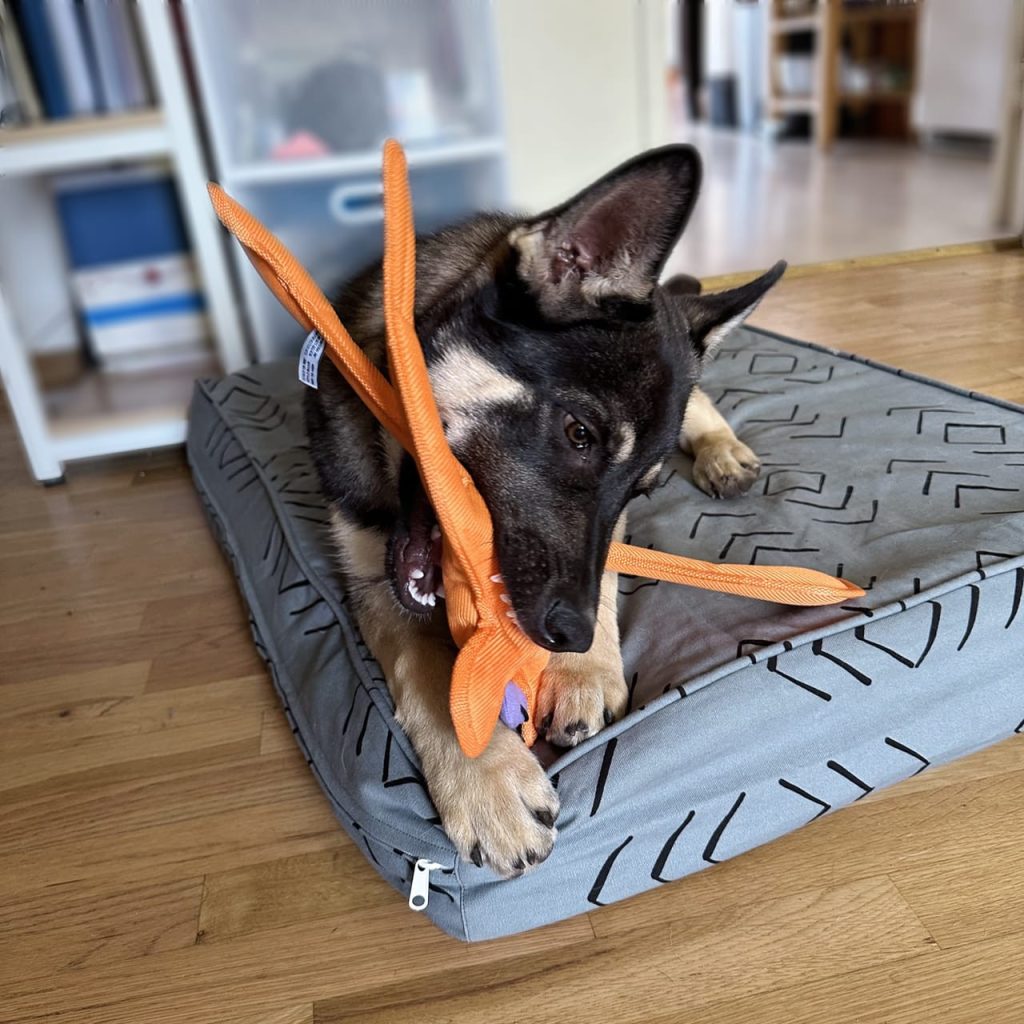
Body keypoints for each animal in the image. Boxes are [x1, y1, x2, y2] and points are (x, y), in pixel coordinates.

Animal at [303, 146, 782, 880]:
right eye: (579, 434)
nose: (571, 637)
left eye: (642, 490)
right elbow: (427, 670)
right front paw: (489, 780)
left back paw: (722, 450)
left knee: (703, 397)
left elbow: (606, 567)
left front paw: (583, 672)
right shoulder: (370, 583)